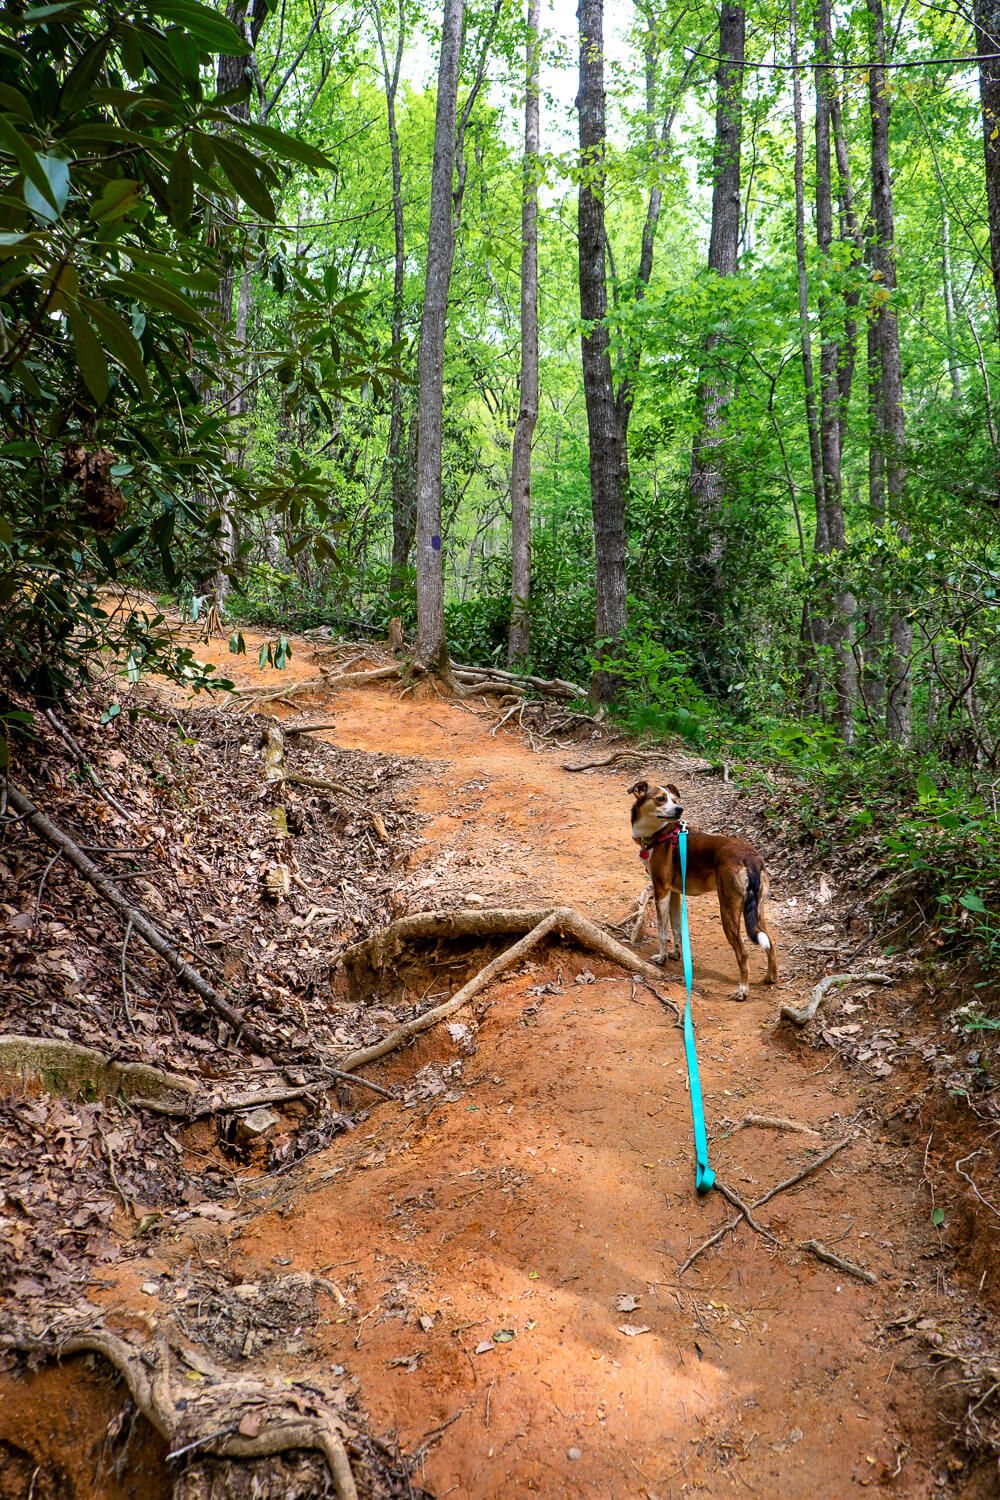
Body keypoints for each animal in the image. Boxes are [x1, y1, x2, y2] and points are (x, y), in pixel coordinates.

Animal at [626, 780, 779, 1002]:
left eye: (675, 800)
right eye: (661, 799)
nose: (679, 809)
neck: (659, 833)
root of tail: (750, 857)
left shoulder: (661, 890)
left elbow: (663, 931)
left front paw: (662, 958)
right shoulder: (674, 892)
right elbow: (676, 929)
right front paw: (676, 954)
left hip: (728, 909)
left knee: (743, 953)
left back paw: (742, 990)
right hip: (758, 910)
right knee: (770, 942)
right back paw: (771, 977)